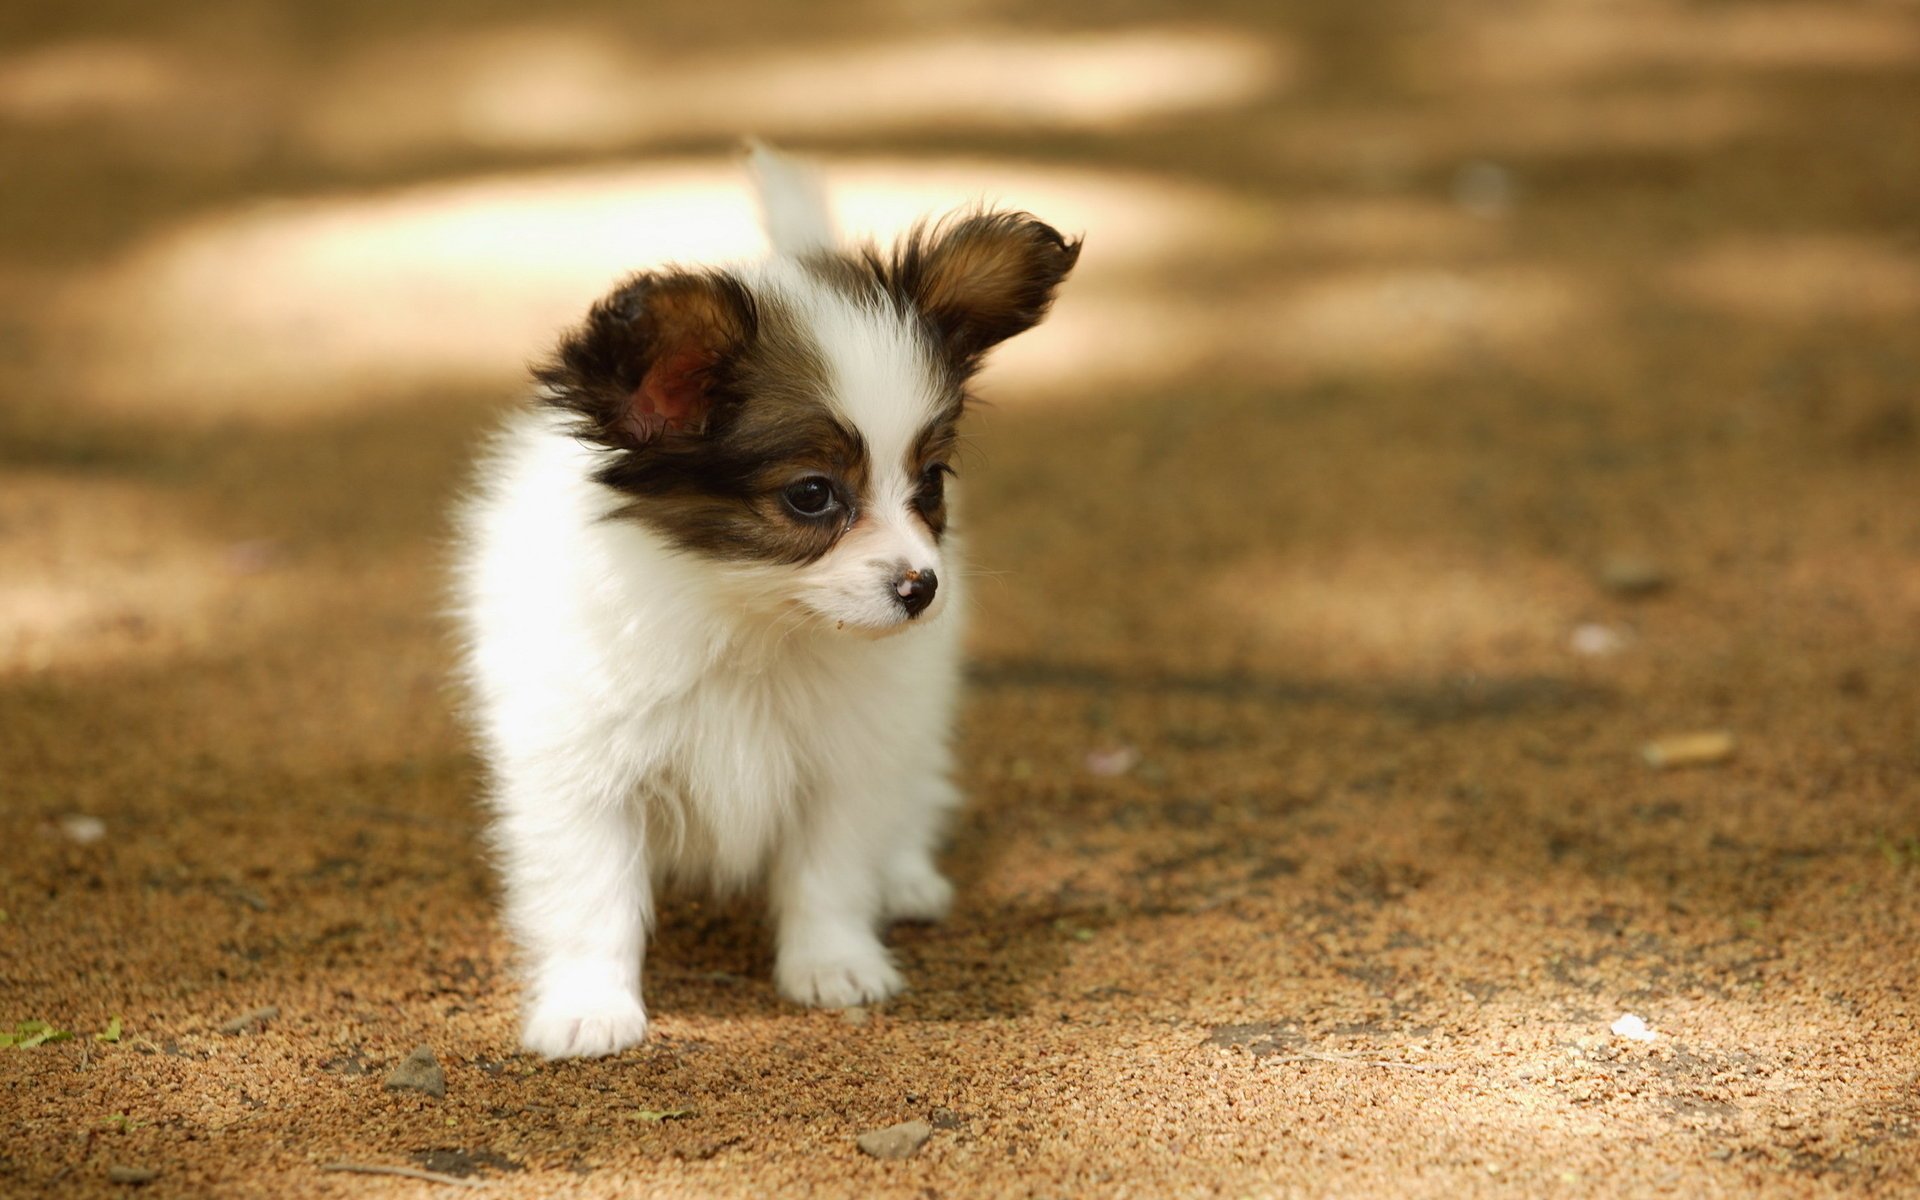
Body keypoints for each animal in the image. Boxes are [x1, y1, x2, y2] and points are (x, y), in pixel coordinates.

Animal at [451, 144, 1082, 1052]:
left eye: (930, 481)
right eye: (812, 495)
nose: (922, 587)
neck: (746, 620)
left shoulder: (846, 760)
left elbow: (830, 872)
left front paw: (835, 965)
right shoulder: (579, 771)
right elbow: (590, 899)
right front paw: (588, 1007)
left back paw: (907, 877)